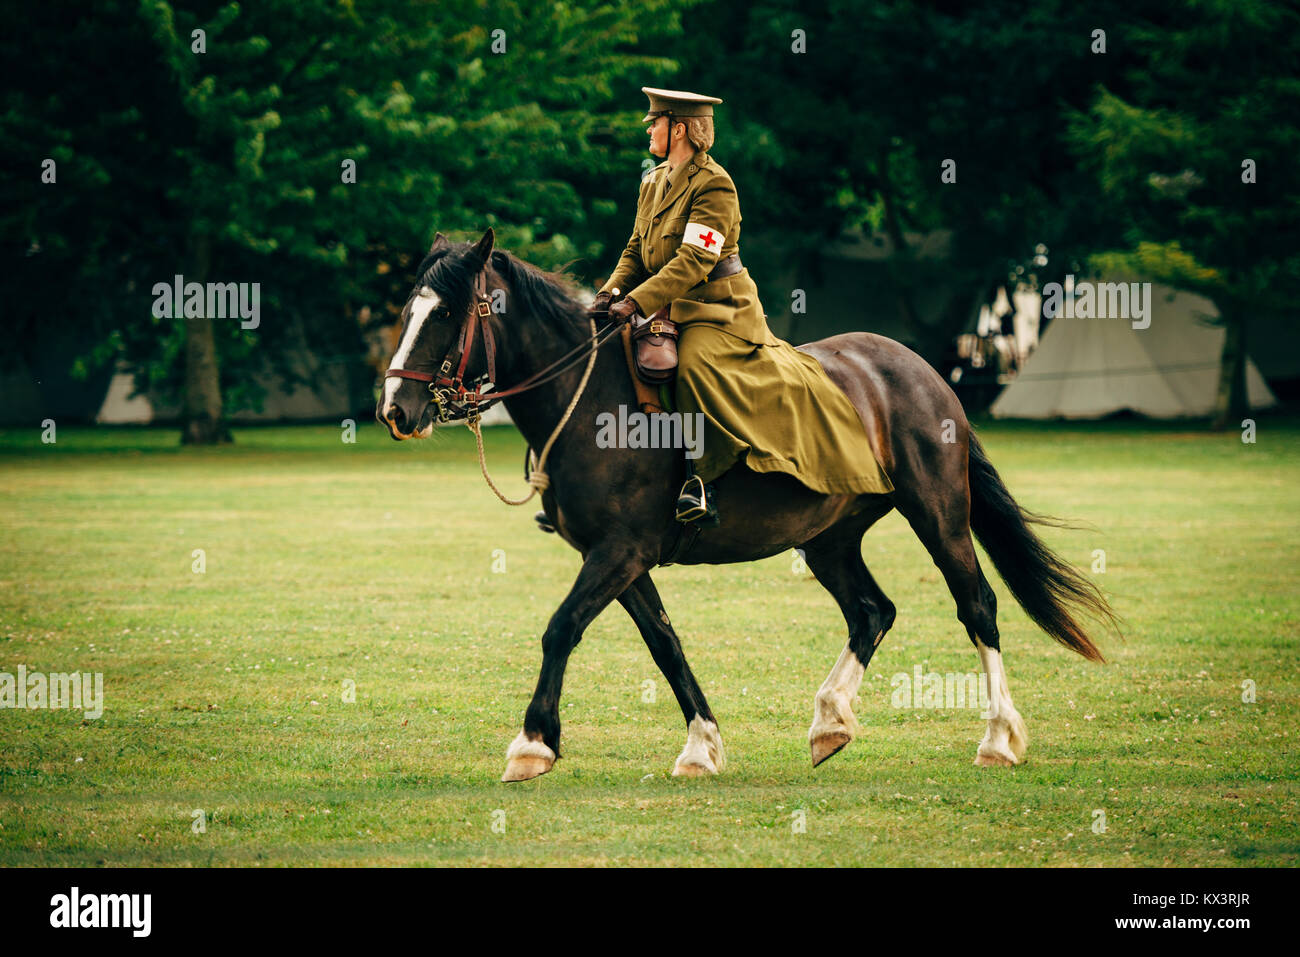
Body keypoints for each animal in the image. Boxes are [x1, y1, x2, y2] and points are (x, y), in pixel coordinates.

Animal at [377, 227, 1118, 780]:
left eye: (446, 313)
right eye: (409, 310)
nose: (395, 409)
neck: (589, 399)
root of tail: (921, 370)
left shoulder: (618, 552)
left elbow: (561, 628)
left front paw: (533, 744)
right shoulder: (621, 559)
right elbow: (665, 643)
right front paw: (701, 744)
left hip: (938, 517)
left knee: (977, 606)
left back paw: (998, 737)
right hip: (828, 540)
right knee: (872, 611)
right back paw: (830, 719)